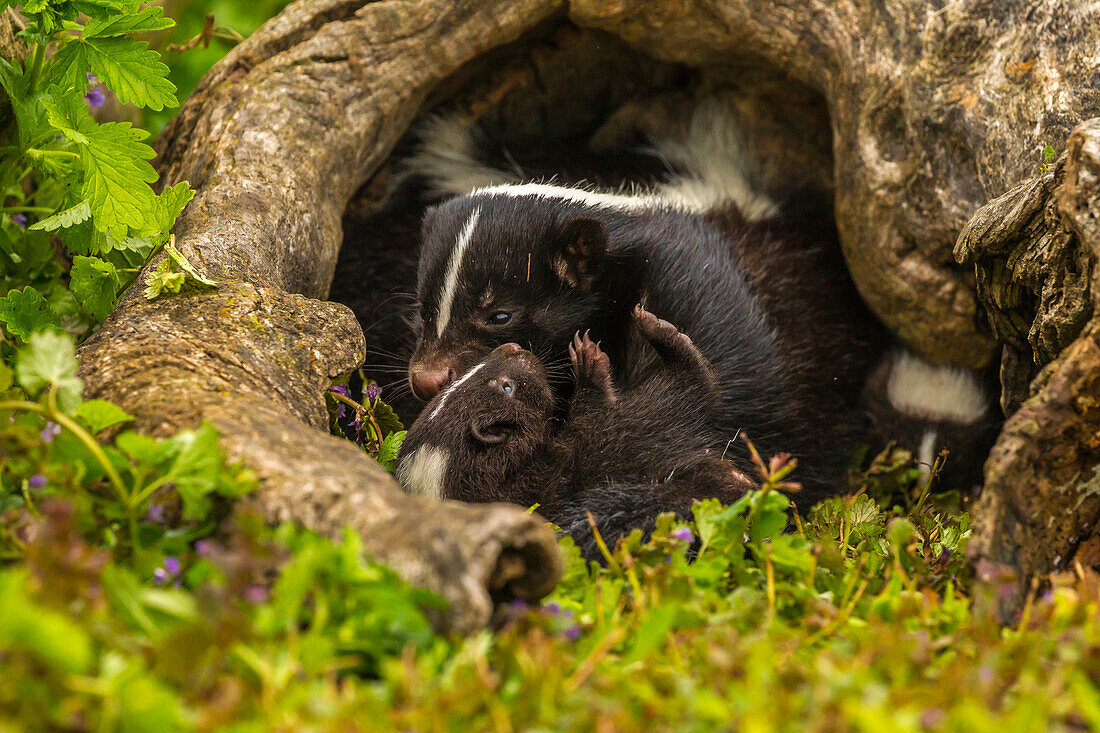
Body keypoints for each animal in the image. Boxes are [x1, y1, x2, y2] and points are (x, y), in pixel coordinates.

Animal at [393, 305, 748, 556]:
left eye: (468, 375)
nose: (512, 347)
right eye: (507, 388)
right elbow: (591, 414)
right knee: (690, 382)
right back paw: (658, 332)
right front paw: (590, 365)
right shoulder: (559, 470)